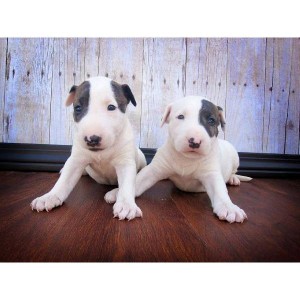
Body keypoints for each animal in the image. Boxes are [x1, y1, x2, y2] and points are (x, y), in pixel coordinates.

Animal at [30, 75, 146, 220]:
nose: (92, 138)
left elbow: (127, 185)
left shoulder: (125, 163)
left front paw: (126, 206)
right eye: (78, 108)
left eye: (111, 107)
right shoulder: (76, 160)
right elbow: (64, 181)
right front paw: (49, 197)